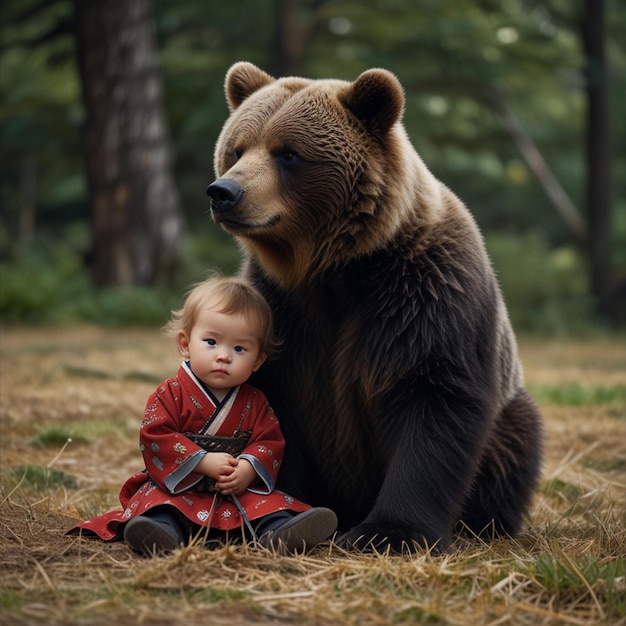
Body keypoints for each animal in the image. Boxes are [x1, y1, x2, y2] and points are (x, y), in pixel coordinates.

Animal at [206, 62, 540, 552]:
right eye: (236, 148)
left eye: (288, 153)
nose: (224, 192)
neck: (338, 267)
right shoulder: (282, 304)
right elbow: (274, 404)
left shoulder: (425, 296)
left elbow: (435, 398)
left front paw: (389, 531)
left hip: (508, 415)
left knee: (515, 445)